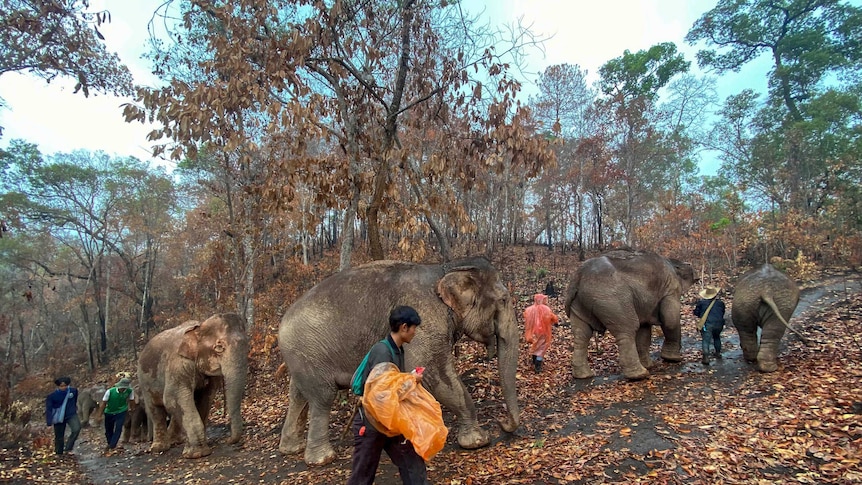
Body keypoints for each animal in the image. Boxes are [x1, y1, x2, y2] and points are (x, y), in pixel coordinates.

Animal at [137, 312, 248, 456]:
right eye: (219, 348)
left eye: (247, 345)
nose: (228, 440)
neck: (199, 328)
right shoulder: (178, 364)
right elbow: (172, 398)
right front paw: (197, 454)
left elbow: (205, 398)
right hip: (144, 380)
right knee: (155, 409)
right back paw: (159, 448)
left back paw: (175, 441)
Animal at [278, 258, 520, 466]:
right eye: (503, 300)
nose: (503, 423)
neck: (445, 268)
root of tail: (280, 326)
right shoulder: (425, 320)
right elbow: (435, 374)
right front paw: (478, 441)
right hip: (309, 352)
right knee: (322, 398)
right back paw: (322, 459)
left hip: (301, 358)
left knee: (298, 394)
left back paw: (291, 448)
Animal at [564, 251, 700, 380]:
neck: (672, 262)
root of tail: (578, 277)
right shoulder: (671, 288)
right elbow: (670, 319)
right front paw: (674, 359)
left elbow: (644, 329)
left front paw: (649, 365)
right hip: (613, 300)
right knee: (627, 329)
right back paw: (640, 375)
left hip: (579, 303)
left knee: (582, 334)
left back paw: (584, 375)